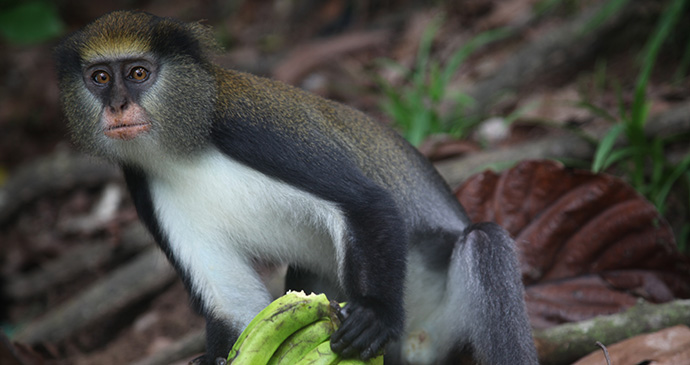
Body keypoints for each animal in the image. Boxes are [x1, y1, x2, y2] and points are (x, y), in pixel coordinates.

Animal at [53, 10, 536, 364]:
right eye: (100, 78)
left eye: (138, 73)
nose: (117, 106)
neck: (179, 145)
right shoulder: (141, 183)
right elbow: (231, 303)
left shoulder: (249, 131)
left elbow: (367, 203)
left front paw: (376, 315)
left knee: (484, 242)